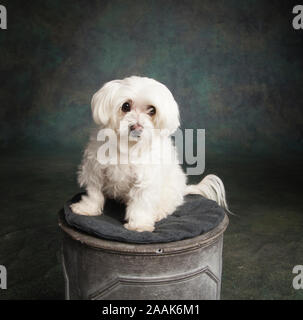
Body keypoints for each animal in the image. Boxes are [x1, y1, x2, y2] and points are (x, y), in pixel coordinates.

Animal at [70, 76, 229, 231]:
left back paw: (158, 213)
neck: (128, 145)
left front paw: (138, 224)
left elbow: (141, 202)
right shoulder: (95, 170)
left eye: (152, 110)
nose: (136, 126)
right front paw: (87, 208)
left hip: (170, 190)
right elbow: (94, 192)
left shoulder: (146, 179)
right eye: (126, 106)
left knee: (168, 204)